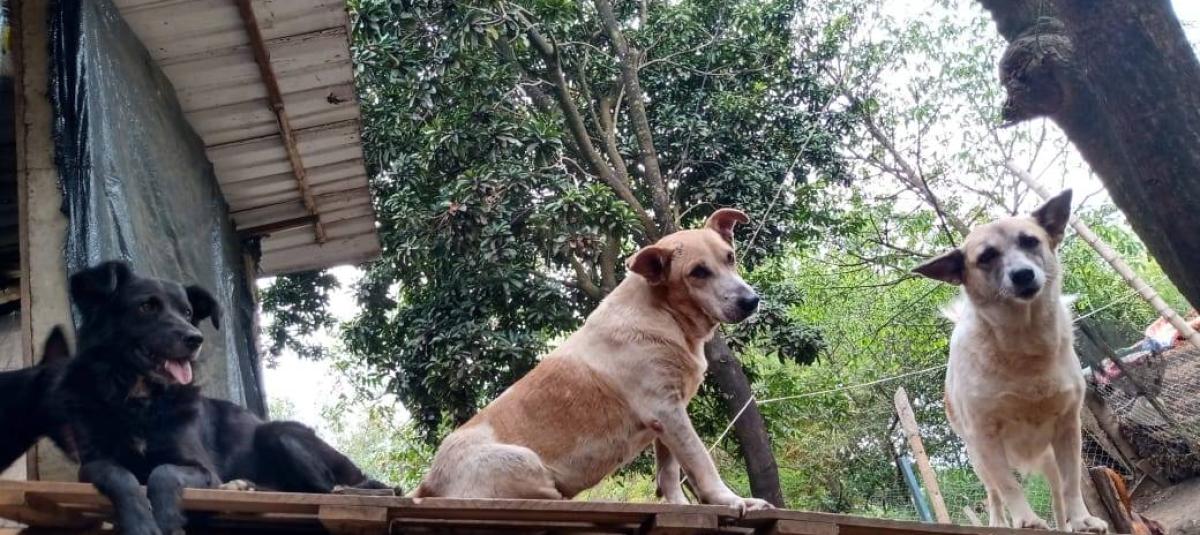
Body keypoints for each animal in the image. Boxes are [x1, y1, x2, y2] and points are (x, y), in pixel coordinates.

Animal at [59, 261, 389, 535]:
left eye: (187, 313)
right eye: (146, 307)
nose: (195, 339)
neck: (143, 401)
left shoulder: (203, 470)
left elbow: (164, 472)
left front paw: (165, 519)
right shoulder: (91, 464)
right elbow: (118, 474)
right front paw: (139, 522)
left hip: (279, 433)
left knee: (325, 490)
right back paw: (243, 486)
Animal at [415, 209, 773, 512]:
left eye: (730, 258)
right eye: (698, 272)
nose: (751, 301)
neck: (663, 314)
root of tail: (428, 484)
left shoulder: (671, 414)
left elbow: (669, 471)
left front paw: (680, 506)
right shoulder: (665, 410)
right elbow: (700, 461)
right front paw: (732, 500)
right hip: (527, 463)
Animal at [913, 190, 1107, 532]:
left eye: (1030, 241)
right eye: (986, 257)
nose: (1023, 275)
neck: (1024, 343)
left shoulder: (1068, 428)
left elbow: (1071, 485)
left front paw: (1083, 519)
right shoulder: (985, 438)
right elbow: (1008, 486)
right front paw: (1026, 520)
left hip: (1049, 459)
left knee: (1057, 496)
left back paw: (1066, 524)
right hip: (978, 460)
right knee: (993, 493)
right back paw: (999, 521)